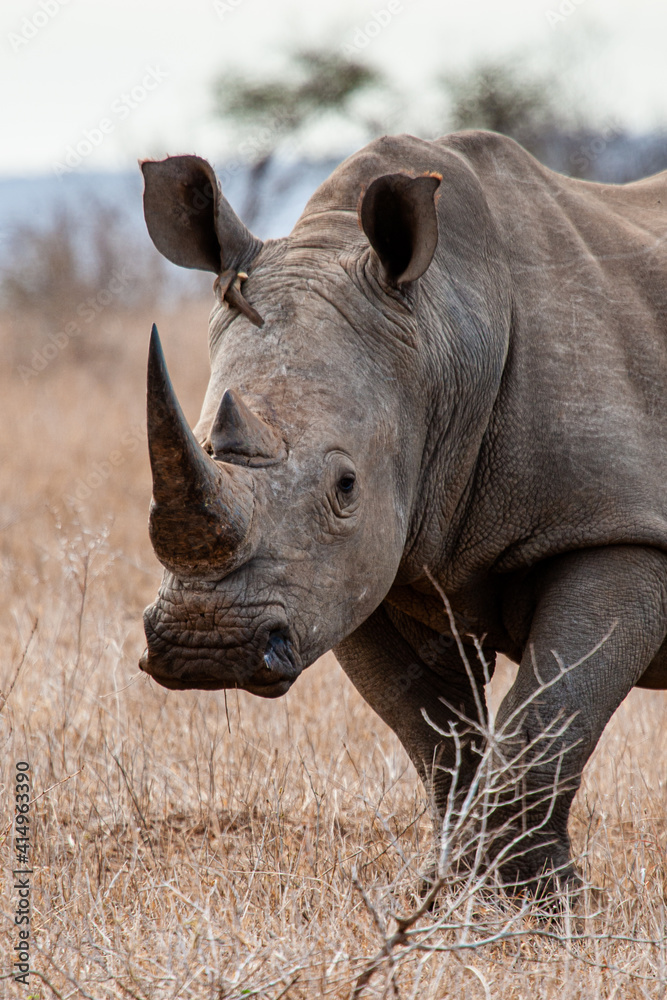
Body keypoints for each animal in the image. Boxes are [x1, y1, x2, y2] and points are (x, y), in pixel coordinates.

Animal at [138, 132, 667, 889]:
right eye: (207, 446)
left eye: (345, 485)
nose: (206, 647)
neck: (443, 333)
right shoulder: (359, 571)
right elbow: (432, 730)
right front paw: (454, 892)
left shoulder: (615, 529)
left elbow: (550, 711)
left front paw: (540, 901)